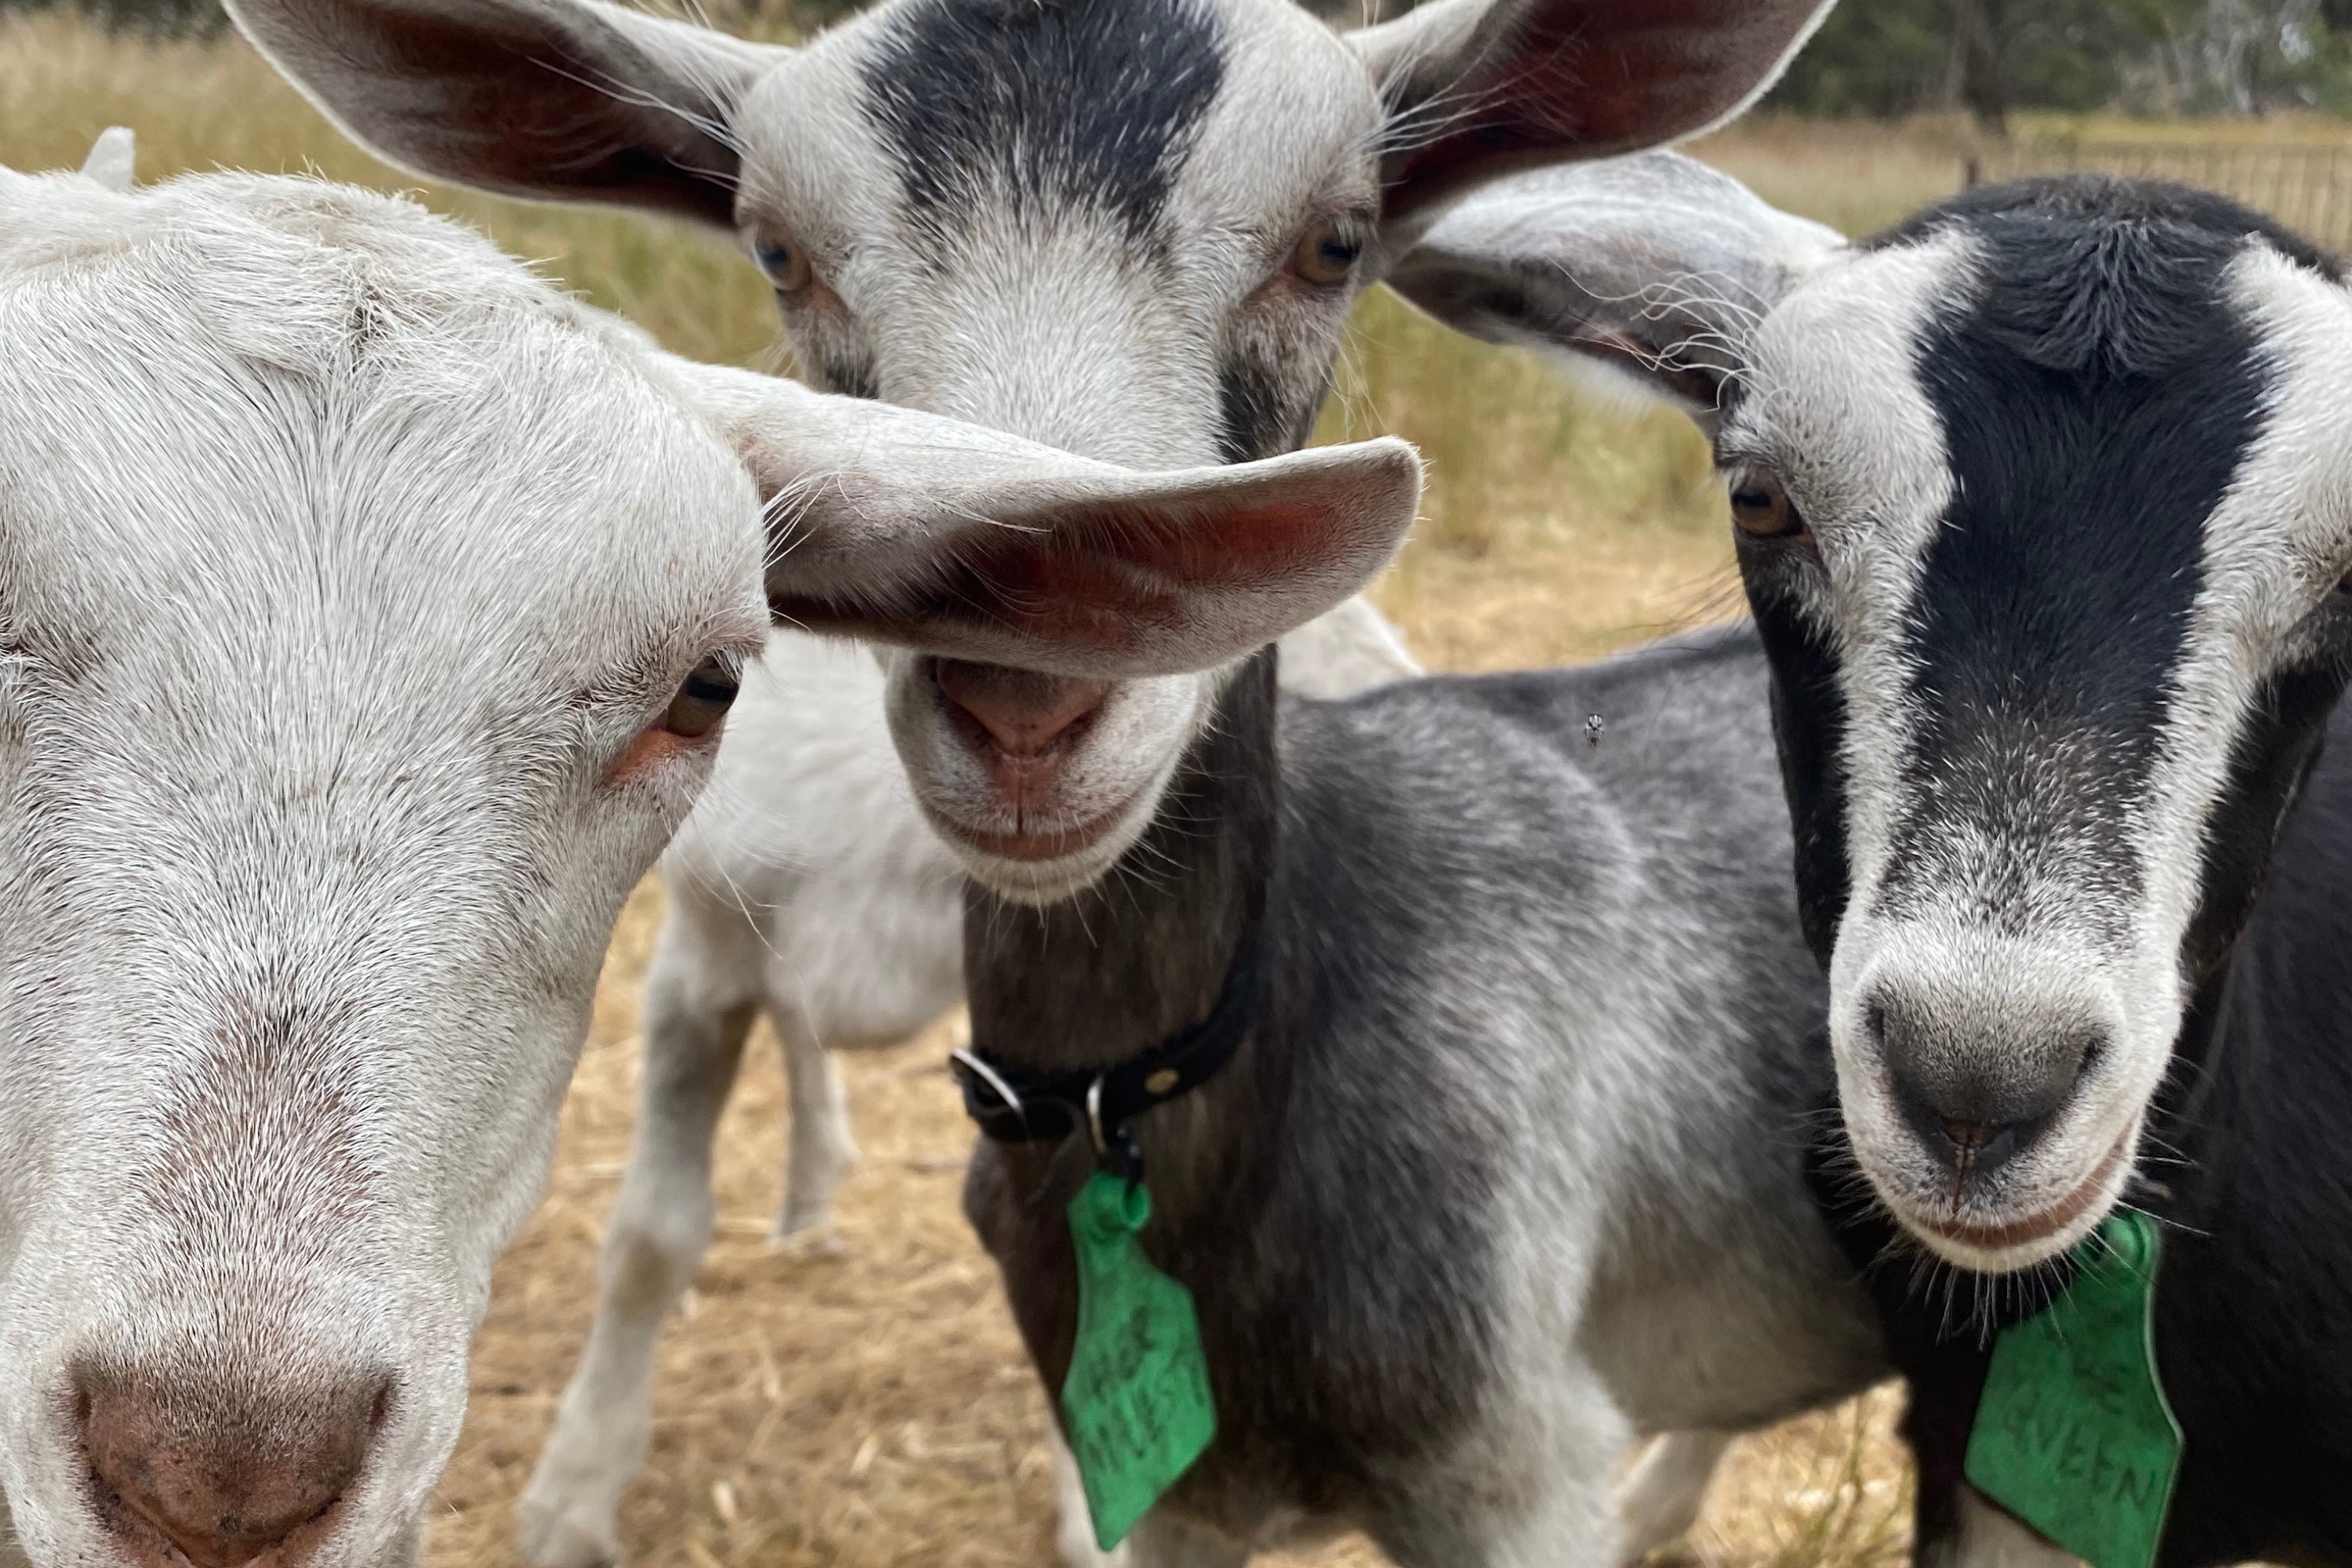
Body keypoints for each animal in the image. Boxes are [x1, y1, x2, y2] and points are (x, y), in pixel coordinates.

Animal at [221, 0, 1845, 1558]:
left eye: (1338, 241)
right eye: (778, 252)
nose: (1028, 692)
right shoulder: (698, 945)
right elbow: (650, 1235)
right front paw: (568, 1503)